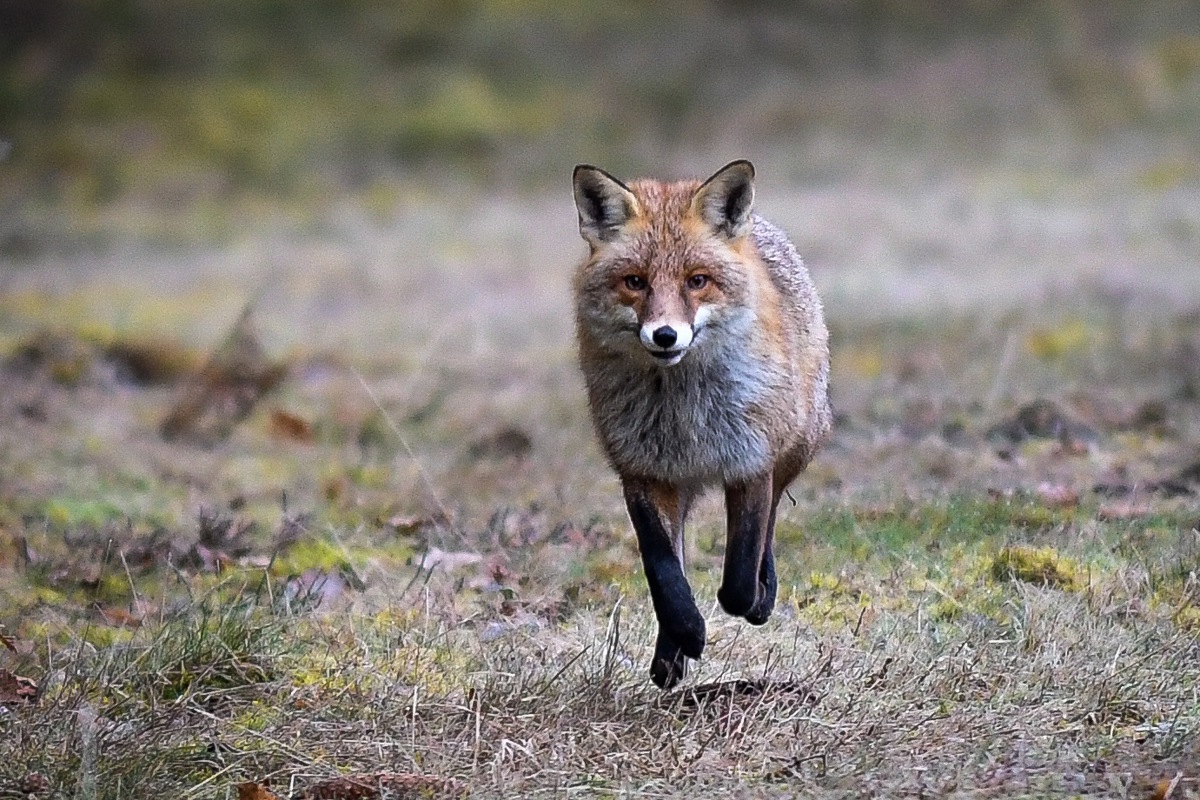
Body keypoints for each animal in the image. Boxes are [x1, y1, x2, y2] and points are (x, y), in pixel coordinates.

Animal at [566, 160, 830, 690]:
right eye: (635, 281)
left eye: (697, 280)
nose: (665, 335)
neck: (684, 417)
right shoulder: (643, 472)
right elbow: (663, 570)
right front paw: (684, 632)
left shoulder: (750, 462)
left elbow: (740, 570)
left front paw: (750, 601)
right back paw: (672, 653)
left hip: (794, 447)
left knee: (771, 523)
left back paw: (763, 594)